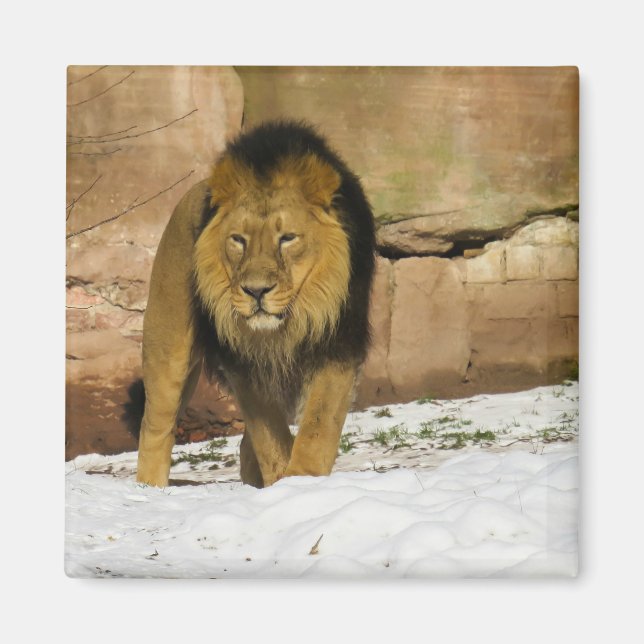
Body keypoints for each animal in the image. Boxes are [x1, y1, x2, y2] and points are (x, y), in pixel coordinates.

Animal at [136, 121, 375, 488]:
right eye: (238, 240)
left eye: (287, 238)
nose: (256, 291)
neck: (288, 323)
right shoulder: (243, 363)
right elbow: (269, 437)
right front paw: (284, 481)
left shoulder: (338, 344)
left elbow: (318, 426)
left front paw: (301, 481)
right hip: (168, 349)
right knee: (155, 427)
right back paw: (149, 490)